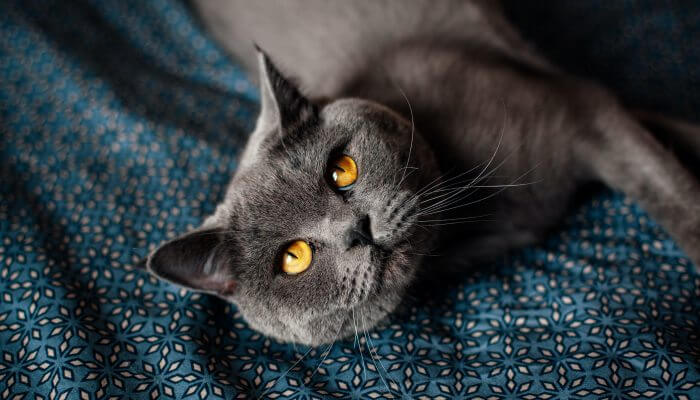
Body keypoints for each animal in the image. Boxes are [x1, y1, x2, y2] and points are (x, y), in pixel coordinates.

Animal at [144, 0, 700, 346]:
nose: (357, 230)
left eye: (341, 171)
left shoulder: (583, 108)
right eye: (293, 258)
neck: (473, 220)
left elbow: (674, 191)